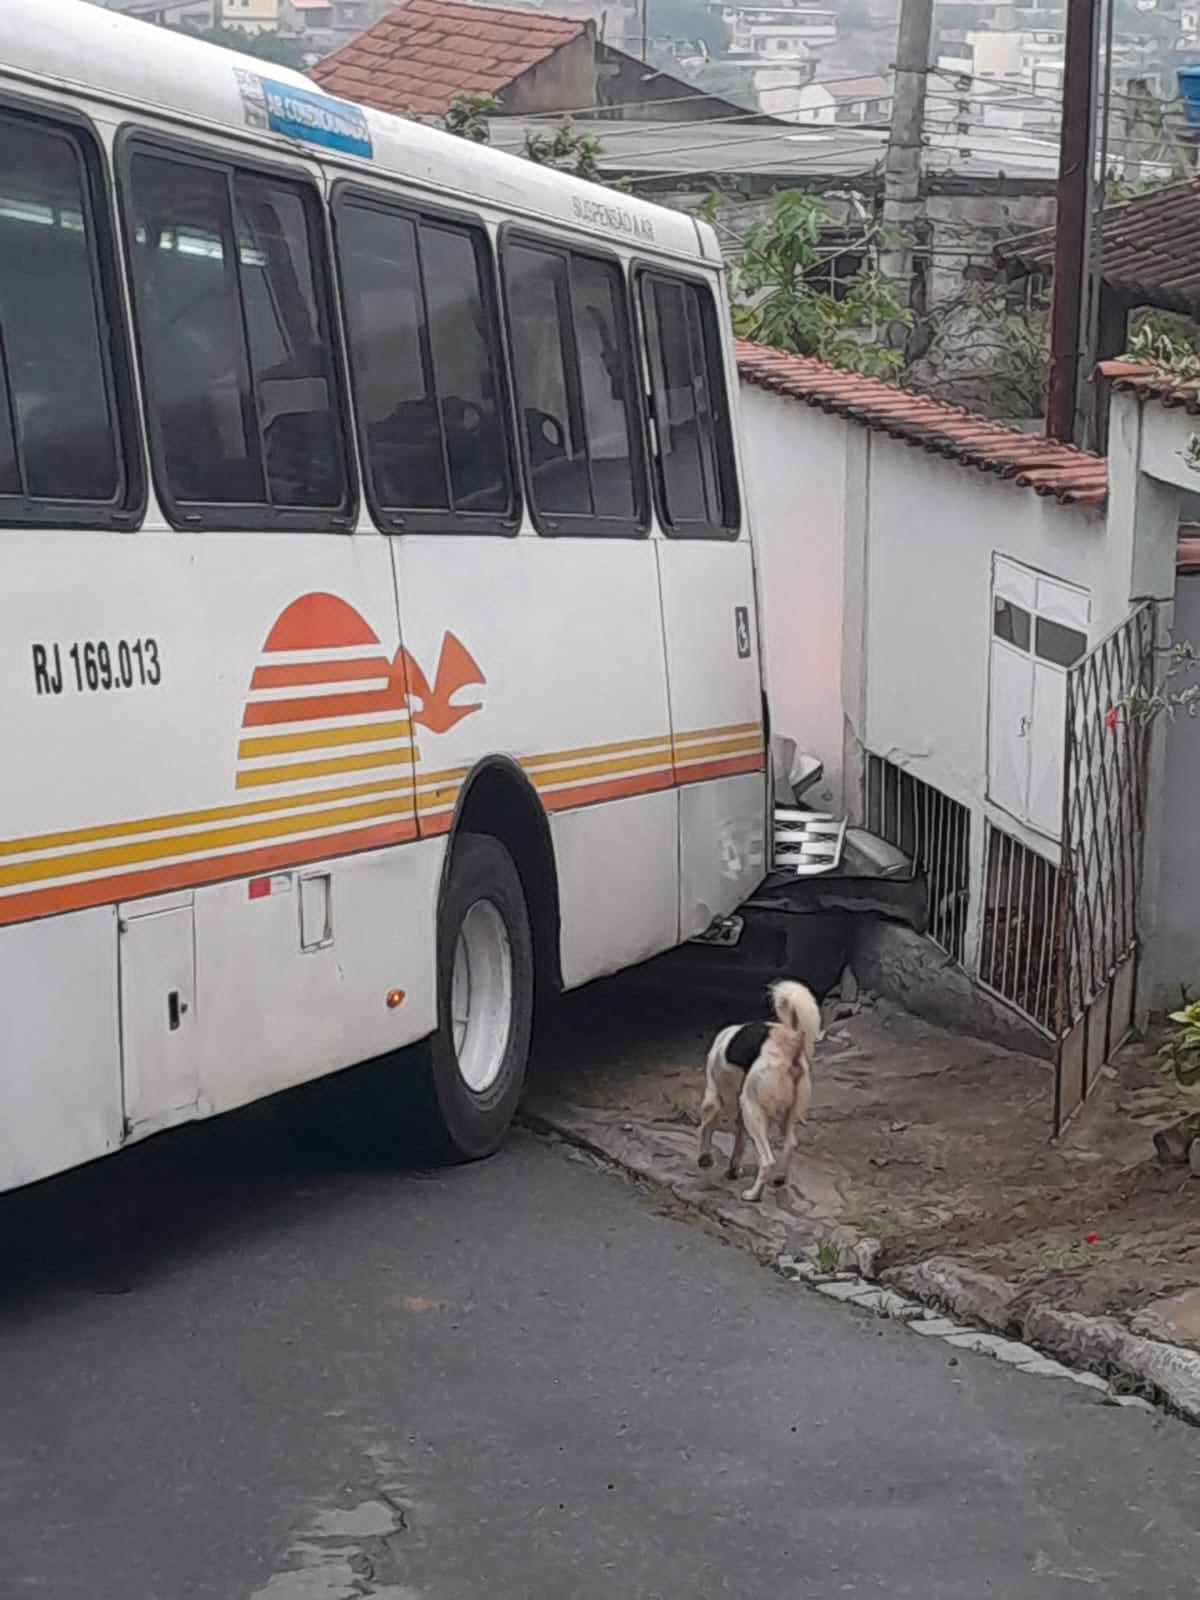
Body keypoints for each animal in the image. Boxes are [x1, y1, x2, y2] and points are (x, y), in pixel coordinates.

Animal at [700, 972, 825, 1203]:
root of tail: (791, 1045)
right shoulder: (740, 1115)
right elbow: (739, 1141)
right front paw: (733, 1169)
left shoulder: (715, 1097)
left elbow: (706, 1127)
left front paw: (704, 1158)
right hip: (785, 1112)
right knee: (790, 1144)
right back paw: (780, 1179)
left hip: (751, 1106)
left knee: (767, 1160)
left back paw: (753, 1194)